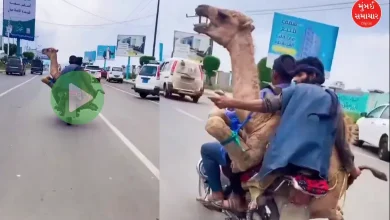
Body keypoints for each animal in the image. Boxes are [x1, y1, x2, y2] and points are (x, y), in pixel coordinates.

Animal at [193, 4, 386, 219]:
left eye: (224, 15)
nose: (201, 8)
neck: (258, 120)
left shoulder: (253, 154)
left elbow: (229, 146)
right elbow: (221, 119)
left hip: (302, 206)